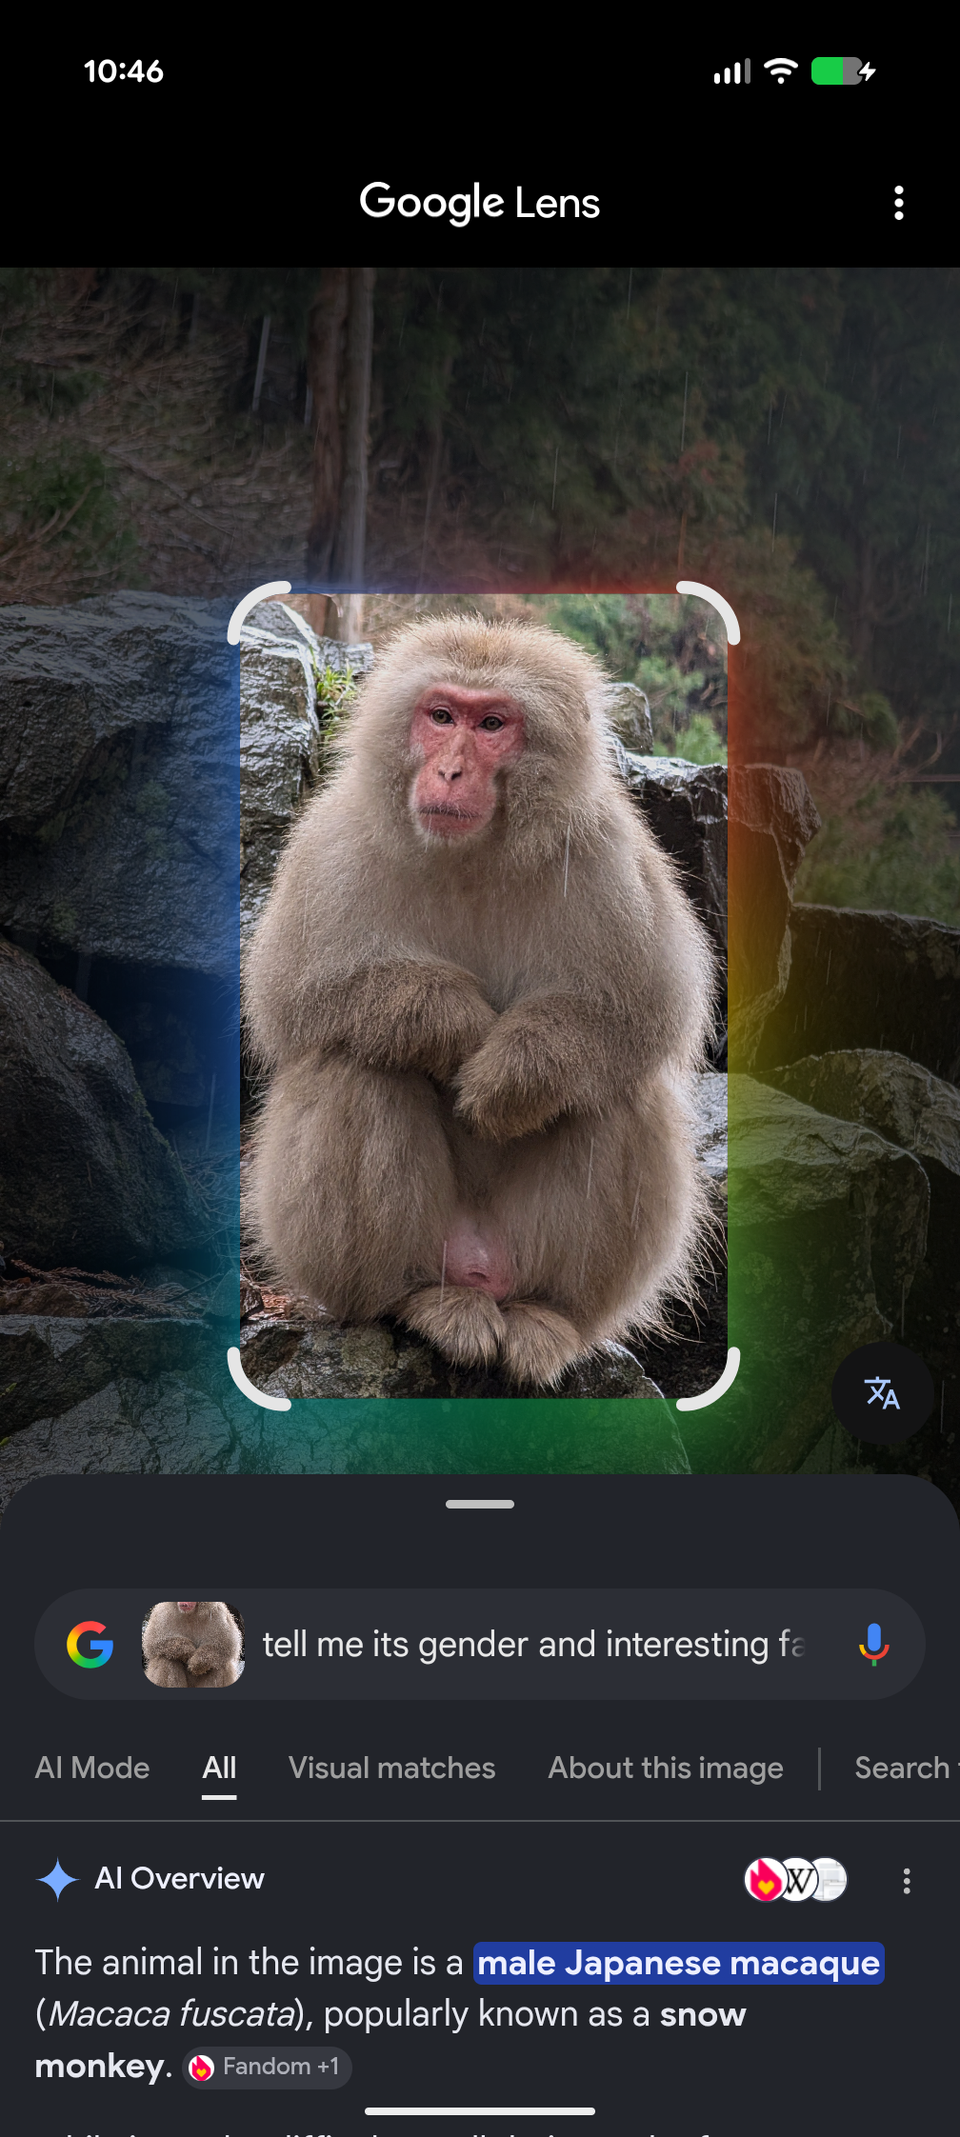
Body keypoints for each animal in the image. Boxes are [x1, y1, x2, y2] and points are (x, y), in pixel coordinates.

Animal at [243, 612, 716, 1389]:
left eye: (492, 723)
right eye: (441, 717)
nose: (451, 771)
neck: (473, 857)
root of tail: (478, 1267)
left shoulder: (606, 853)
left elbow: (646, 1010)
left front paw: (514, 1073)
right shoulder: (333, 841)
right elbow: (291, 997)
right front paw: (456, 1024)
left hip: (524, 1252)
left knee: (617, 1089)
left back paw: (548, 1316)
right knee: (358, 1062)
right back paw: (416, 1299)